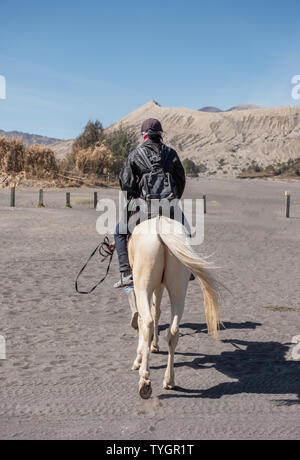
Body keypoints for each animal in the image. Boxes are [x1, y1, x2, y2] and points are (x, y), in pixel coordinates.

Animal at [127, 216, 219, 398]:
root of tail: (160, 227)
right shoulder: (160, 286)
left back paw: (145, 380)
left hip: (143, 287)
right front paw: (155, 345)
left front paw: (140, 358)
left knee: (147, 321)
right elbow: (157, 311)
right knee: (173, 331)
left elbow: (145, 318)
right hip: (178, 291)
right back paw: (169, 380)